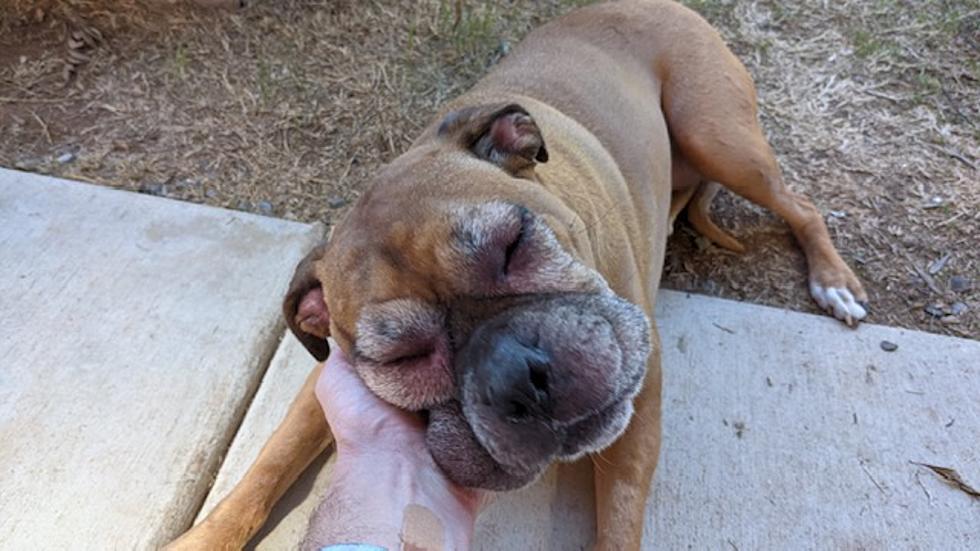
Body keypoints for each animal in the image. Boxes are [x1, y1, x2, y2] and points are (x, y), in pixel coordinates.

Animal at [167, 2, 864, 548]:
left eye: (513, 245)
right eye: (402, 358)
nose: (521, 380)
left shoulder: (641, 402)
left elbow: (619, 518)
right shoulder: (324, 384)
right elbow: (266, 465)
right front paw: (201, 537)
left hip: (720, 137)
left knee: (801, 205)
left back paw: (835, 281)